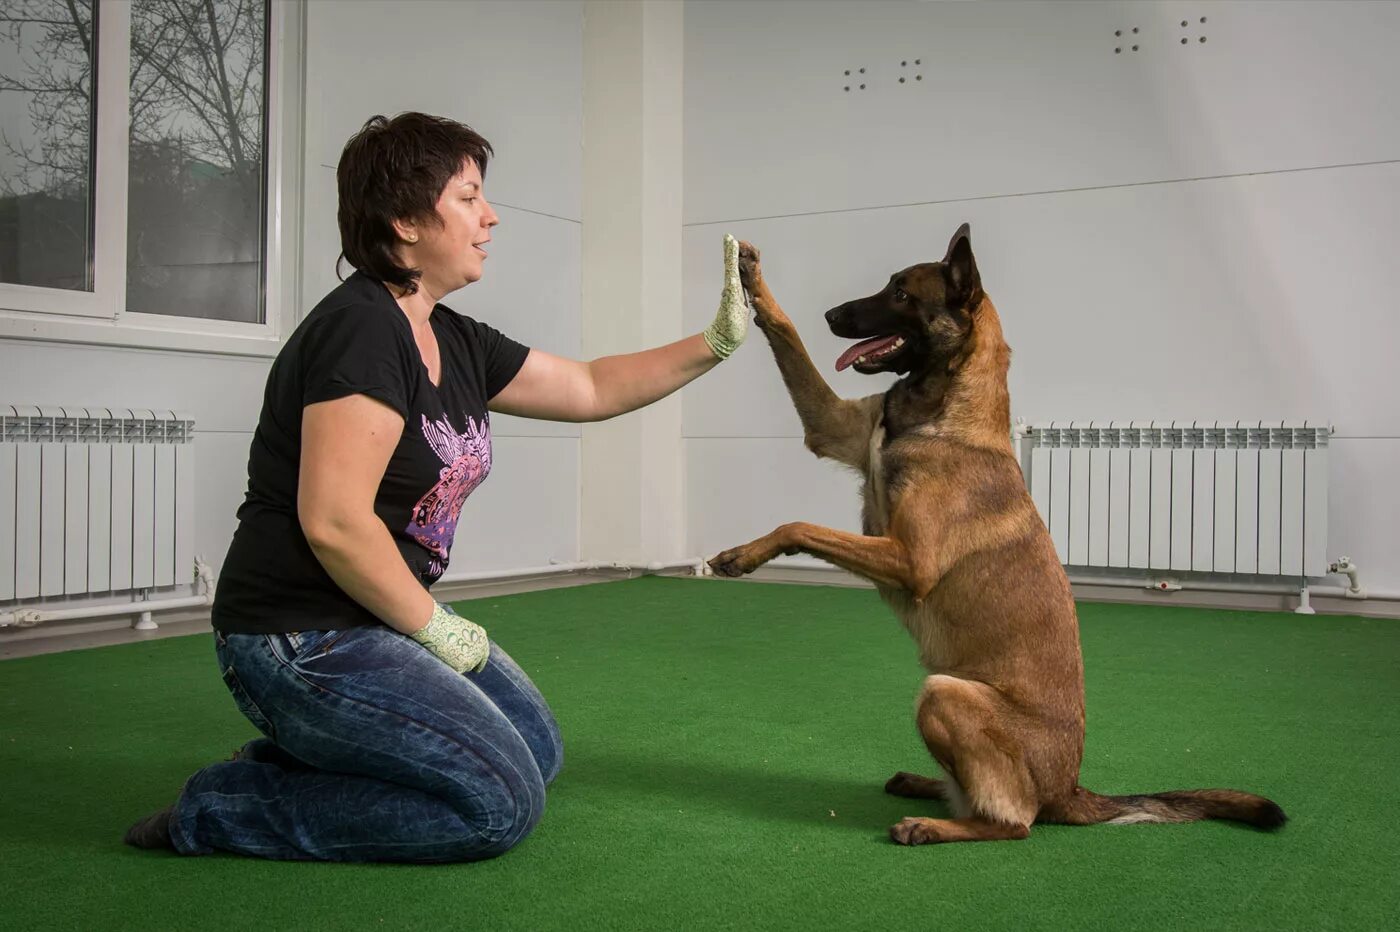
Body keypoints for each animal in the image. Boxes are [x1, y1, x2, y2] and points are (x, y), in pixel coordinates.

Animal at [705, 223, 1282, 839]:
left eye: (901, 293)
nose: (833, 314)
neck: (946, 410)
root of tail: (1070, 790)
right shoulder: (832, 428)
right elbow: (787, 334)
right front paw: (750, 281)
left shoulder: (910, 560)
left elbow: (801, 523)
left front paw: (742, 554)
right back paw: (924, 786)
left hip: (944, 694)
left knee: (1014, 822)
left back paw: (932, 825)